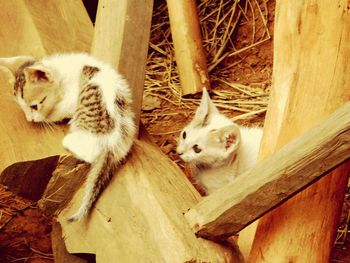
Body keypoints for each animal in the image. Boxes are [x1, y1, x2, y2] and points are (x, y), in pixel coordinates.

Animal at [0, 53, 135, 223]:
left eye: (35, 106)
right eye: (23, 107)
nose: (30, 120)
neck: (63, 73)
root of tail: (112, 143)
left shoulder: (70, 100)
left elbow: (57, 111)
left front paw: (47, 119)